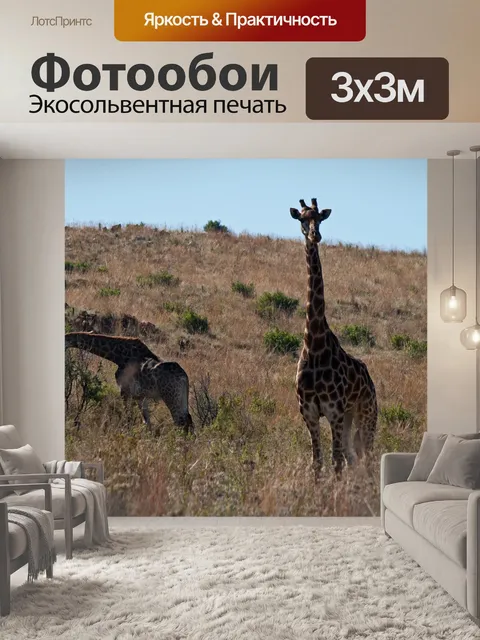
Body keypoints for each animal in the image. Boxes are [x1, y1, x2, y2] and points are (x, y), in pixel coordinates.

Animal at [65, 332, 194, 435]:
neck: (118, 356)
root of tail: (184, 377)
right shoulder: (140, 396)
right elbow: (147, 422)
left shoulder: (125, 391)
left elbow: (129, 418)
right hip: (181, 397)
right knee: (188, 420)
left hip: (171, 397)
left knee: (180, 422)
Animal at [290, 198, 377, 479]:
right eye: (302, 218)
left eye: (320, 218)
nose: (315, 235)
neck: (314, 344)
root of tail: (370, 380)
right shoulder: (309, 413)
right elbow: (317, 462)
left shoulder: (334, 412)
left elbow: (335, 461)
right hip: (350, 418)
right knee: (353, 457)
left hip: (366, 414)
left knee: (366, 457)